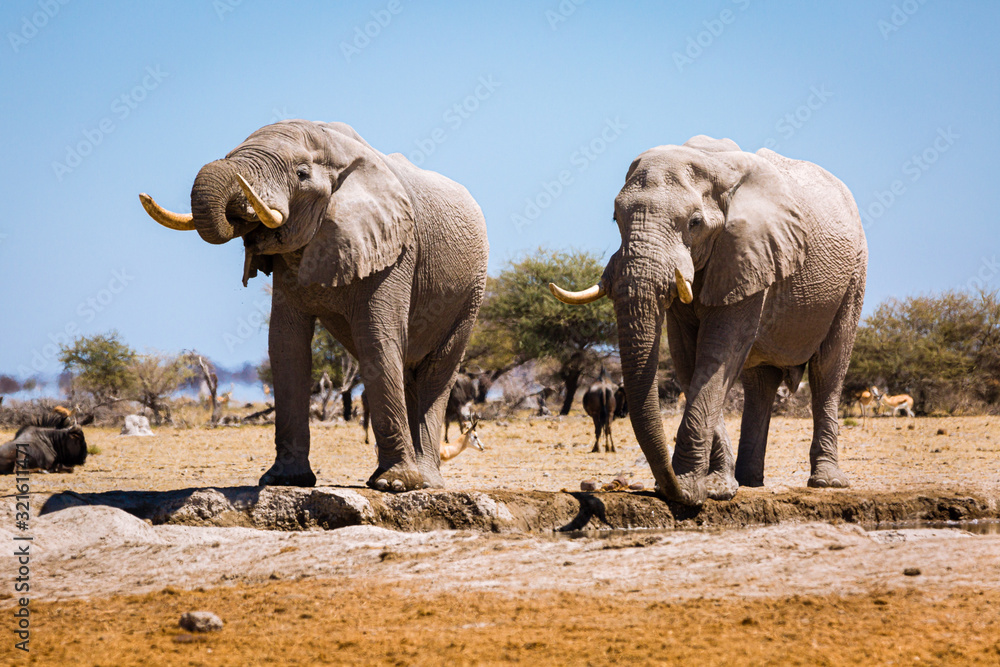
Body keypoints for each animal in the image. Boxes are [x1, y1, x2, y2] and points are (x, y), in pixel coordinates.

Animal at [140, 120, 489, 491]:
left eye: (302, 174)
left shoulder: (395, 250)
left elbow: (376, 340)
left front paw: (395, 485)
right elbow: (285, 343)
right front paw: (284, 480)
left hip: (470, 295)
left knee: (437, 371)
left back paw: (425, 482)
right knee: (408, 370)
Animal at [551, 136, 867, 506]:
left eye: (694, 223)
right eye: (616, 218)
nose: (665, 488)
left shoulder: (748, 252)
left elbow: (718, 353)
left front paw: (694, 489)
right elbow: (689, 359)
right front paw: (712, 488)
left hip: (854, 275)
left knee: (828, 370)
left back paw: (827, 482)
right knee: (761, 382)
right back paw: (749, 482)